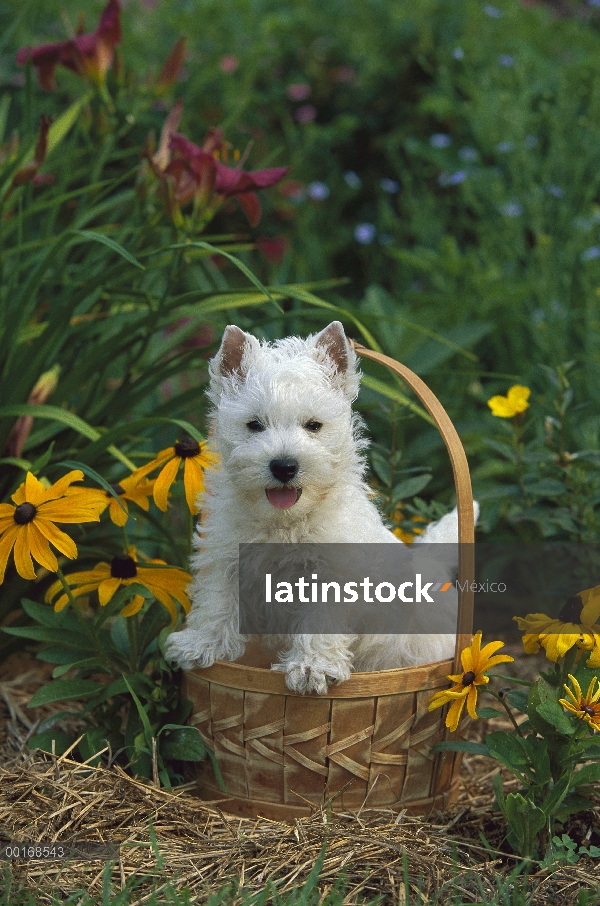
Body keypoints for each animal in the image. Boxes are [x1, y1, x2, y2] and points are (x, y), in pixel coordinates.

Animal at [163, 324, 474, 692]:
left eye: (313, 425)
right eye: (255, 424)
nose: (284, 466)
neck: (285, 523)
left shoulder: (331, 577)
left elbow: (319, 624)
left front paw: (312, 668)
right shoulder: (224, 558)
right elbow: (215, 603)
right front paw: (199, 644)